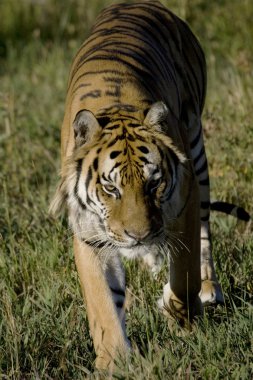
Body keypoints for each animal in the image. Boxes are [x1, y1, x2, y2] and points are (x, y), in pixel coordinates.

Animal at [49, 0, 249, 372]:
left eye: (154, 182)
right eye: (111, 189)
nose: (138, 236)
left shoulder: (184, 201)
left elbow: (184, 275)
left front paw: (178, 315)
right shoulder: (88, 232)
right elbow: (102, 302)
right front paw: (114, 361)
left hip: (198, 155)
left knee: (204, 234)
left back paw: (207, 287)